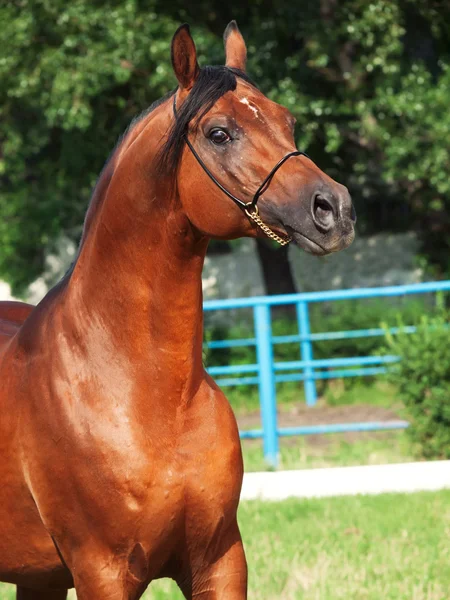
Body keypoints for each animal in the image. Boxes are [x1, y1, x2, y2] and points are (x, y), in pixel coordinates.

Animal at [0, 21, 356, 600]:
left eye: (287, 120)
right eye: (219, 133)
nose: (334, 209)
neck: (150, 395)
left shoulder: (220, 561)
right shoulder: (103, 572)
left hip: (40, 576)